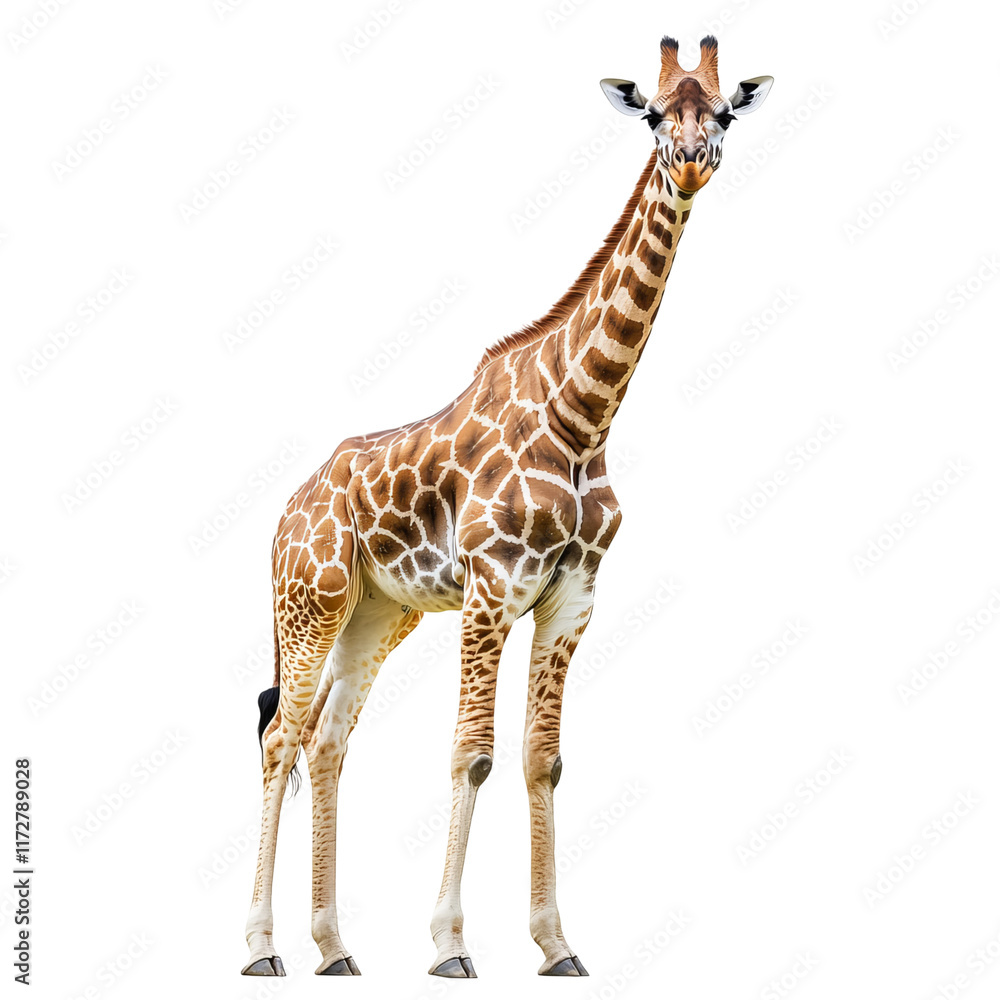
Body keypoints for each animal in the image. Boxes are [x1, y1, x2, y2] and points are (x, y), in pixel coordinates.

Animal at [242, 34, 772, 980]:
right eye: (651, 114)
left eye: (720, 114)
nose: (688, 163)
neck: (584, 413)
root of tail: (283, 514)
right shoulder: (491, 590)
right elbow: (474, 755)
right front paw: (451, 944)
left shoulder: (572, 598)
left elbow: (542, 760)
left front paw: (558, 944)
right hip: (310, 602)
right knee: (280, 738)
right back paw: (262, 948)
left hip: (376, 613)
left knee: (328, 741)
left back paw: (335, 949)